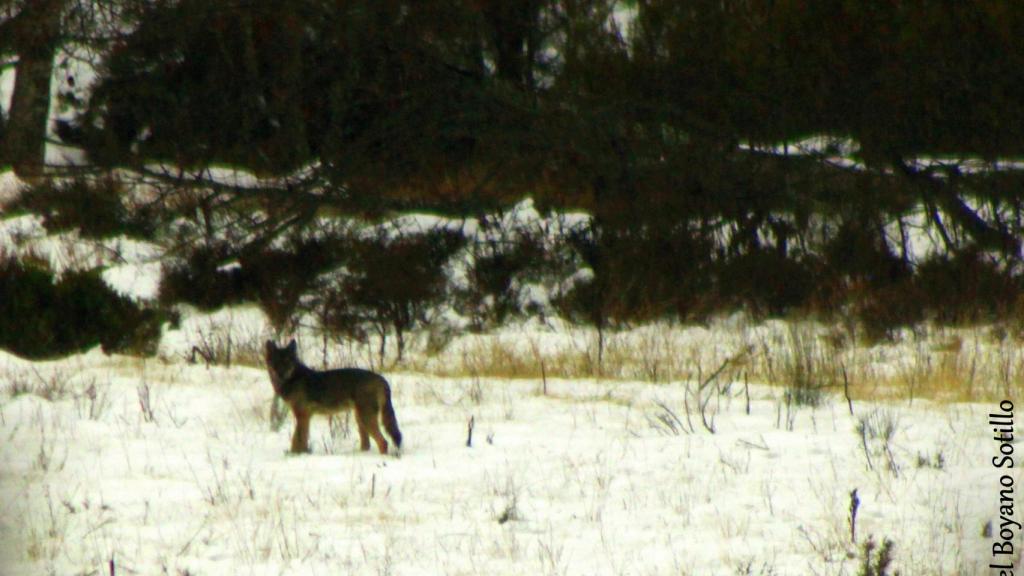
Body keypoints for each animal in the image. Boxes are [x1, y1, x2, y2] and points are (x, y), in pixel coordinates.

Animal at [262, 336, 401, 453]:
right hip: (360, 419)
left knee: (383, 442)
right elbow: (301, 439)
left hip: (366, 418)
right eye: (276, 362)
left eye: (287, 362)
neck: (293, 379)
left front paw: (295, 455)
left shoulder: (302, 416)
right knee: (367, 444)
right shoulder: (306, 417)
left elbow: (297, 440)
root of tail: (381, 378)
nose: (281, 375)